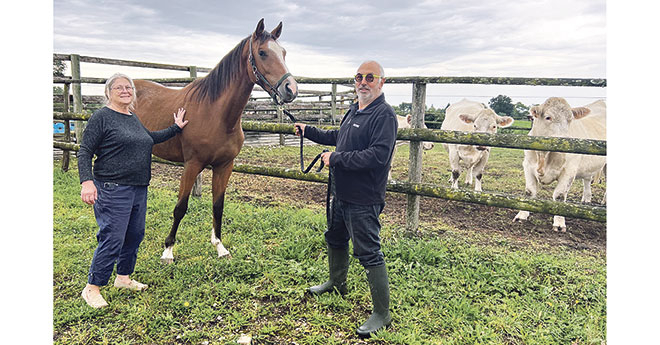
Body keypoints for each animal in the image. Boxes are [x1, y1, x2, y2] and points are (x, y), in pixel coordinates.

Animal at [133, 18, 298, 264]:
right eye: (262, 52)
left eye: (284, 53)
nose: (291, 89)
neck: (215, 113)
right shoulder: (192, 165)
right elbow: (181, 207)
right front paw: (168, 250)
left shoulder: (224, 166)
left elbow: (218, 205)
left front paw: (220, 247)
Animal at [512, 97, 604, 231]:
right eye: (548, 117)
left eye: (570, 120)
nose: (566, 140)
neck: (544, 155)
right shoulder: (528, 166)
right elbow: (530, 192)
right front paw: (521, 215)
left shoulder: (569, 171)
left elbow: (560, 196)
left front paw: (559, 223)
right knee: (587, 180)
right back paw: (586, 199)